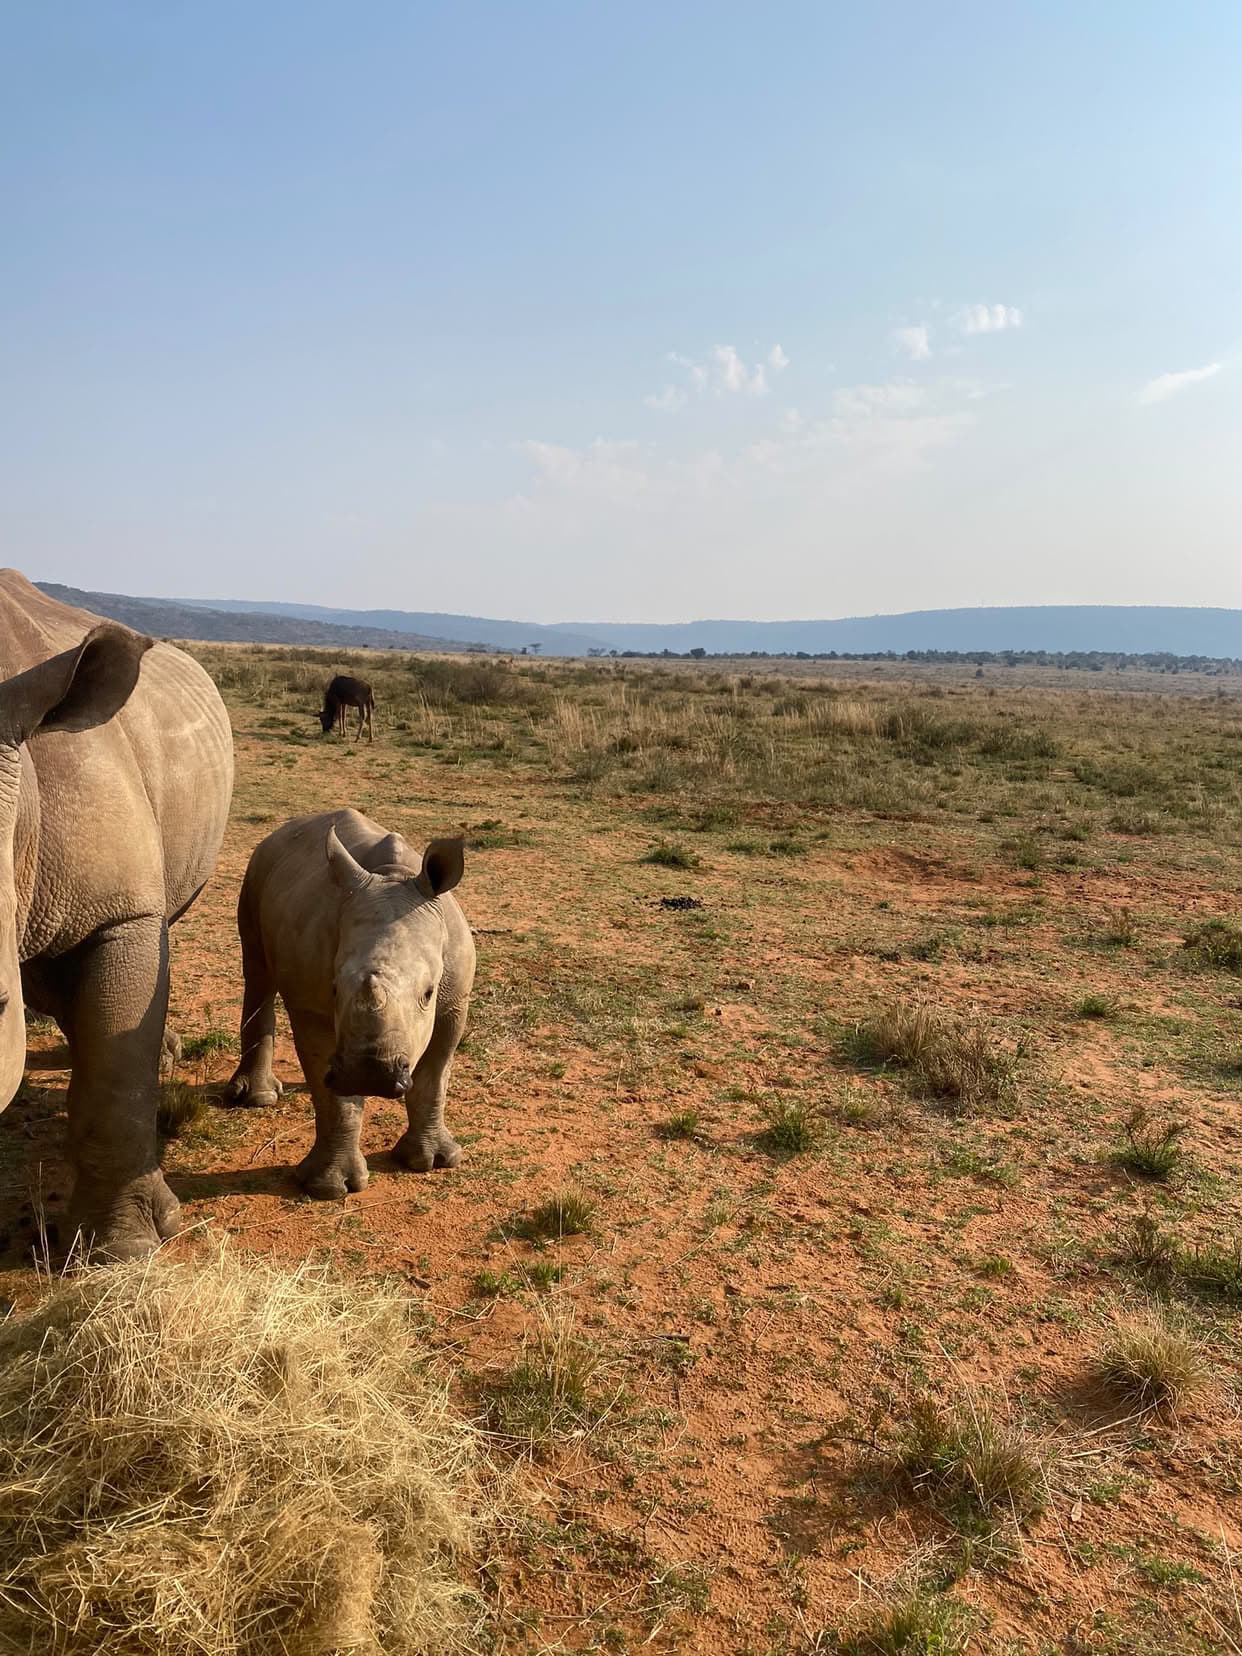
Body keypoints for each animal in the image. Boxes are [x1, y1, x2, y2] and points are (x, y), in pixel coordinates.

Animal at [223, 809, 475, 1198]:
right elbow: (332, 1096)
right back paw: (260, 1098)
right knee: (257, 969)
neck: (393, 875)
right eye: (334, 989)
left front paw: (433, 1162)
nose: (368, 1073)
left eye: (428, 993)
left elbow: (434, 1076)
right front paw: (327, 1188)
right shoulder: (311, 1006)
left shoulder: (454, 1000)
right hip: (257, 866)